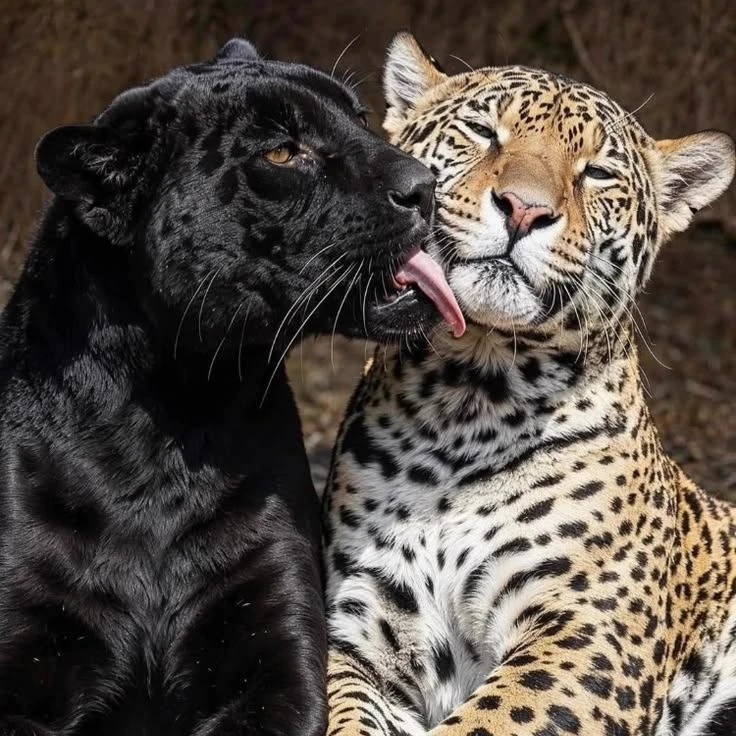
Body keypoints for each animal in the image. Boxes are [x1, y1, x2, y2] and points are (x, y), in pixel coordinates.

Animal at [323, 32, 736, 736]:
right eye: (484, 132)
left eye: (596, 173)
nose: (524, 209)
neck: (466, 399)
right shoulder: (358, 627)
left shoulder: (589, 633)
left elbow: (489, 721)